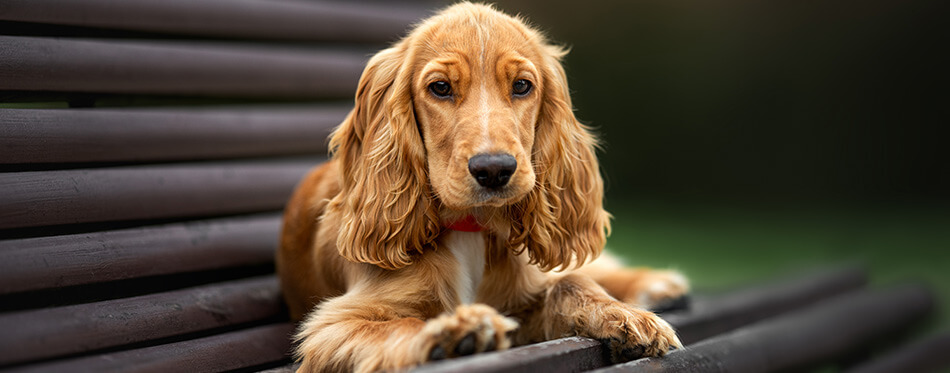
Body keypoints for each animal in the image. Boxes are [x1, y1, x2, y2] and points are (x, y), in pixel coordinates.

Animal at [278, 2, 692, 370]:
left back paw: (655, 284)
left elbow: (571, 282)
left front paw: (625, 316)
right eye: (440, 88)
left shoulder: (525, 293)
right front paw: (451, 333)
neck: (470, 227)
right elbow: (399, 325)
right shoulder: (332, 326)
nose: (494, 170)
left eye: (522, 85)